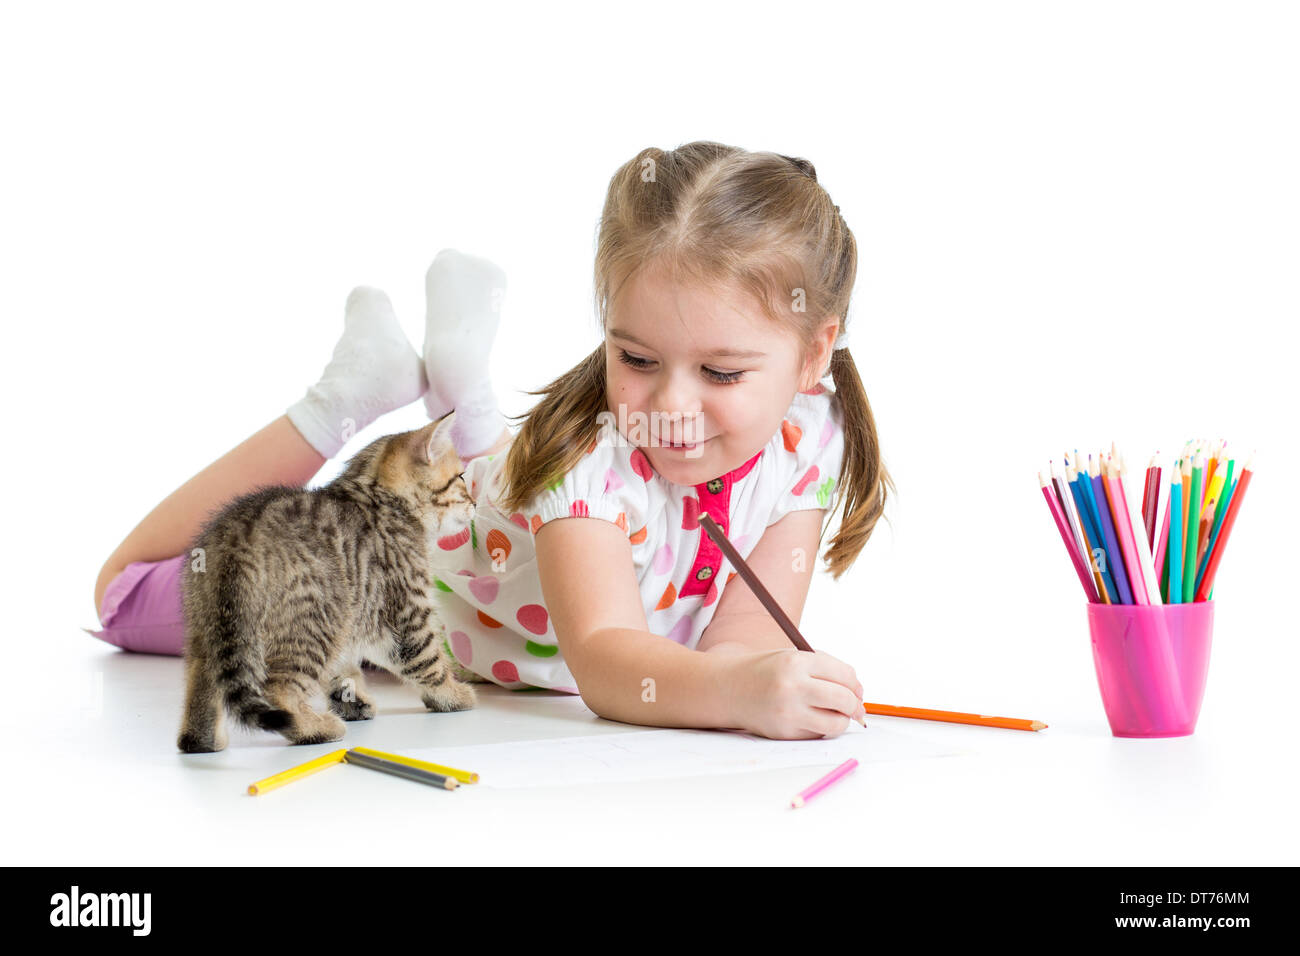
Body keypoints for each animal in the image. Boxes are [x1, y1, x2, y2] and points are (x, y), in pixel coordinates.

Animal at [175, 411, 475, 754]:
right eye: (461, 478)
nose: (475, 502)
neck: (380, 497)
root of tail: (236, 540)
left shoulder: (354, 615)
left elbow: (343, 668)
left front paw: (351, 700)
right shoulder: (407, 610)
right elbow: (428, 659)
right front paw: (452, 694)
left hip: (209, 628)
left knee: (204, 682)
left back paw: (203, 739)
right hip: (313, 621)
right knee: (278, 690)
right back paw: (314, 728)